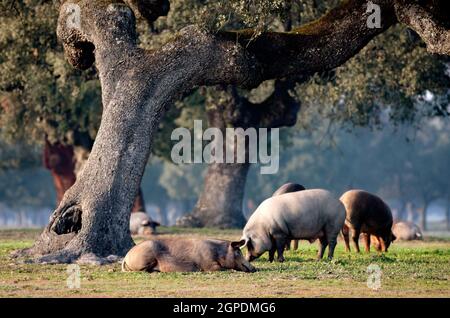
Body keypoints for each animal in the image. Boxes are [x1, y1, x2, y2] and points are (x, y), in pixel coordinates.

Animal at [121, 238, 255, 274]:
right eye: (238, 252)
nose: (254, 268)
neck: (218, 253)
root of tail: (126, 257)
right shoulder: (208, 265)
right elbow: (219, 268)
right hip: (146, 258)